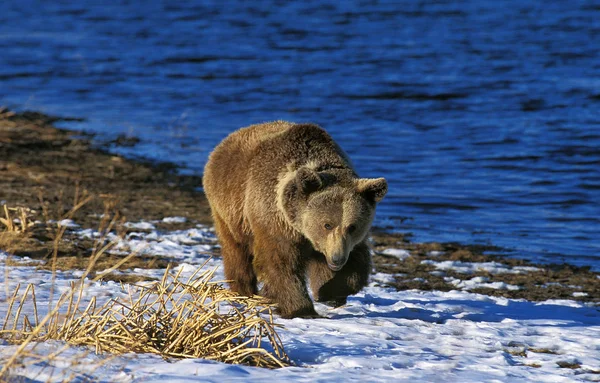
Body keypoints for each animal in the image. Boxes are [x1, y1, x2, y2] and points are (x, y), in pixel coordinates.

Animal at [203, 121, 390, 320]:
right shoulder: (275, 221)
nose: (337, 258)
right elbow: (280, 263)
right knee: (237, 250)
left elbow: (356, 262)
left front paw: (331, 293)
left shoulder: (343, 241)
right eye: (327, 224)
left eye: (352, 227)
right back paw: (244, 292)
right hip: (229, 209)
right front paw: (301, 309)